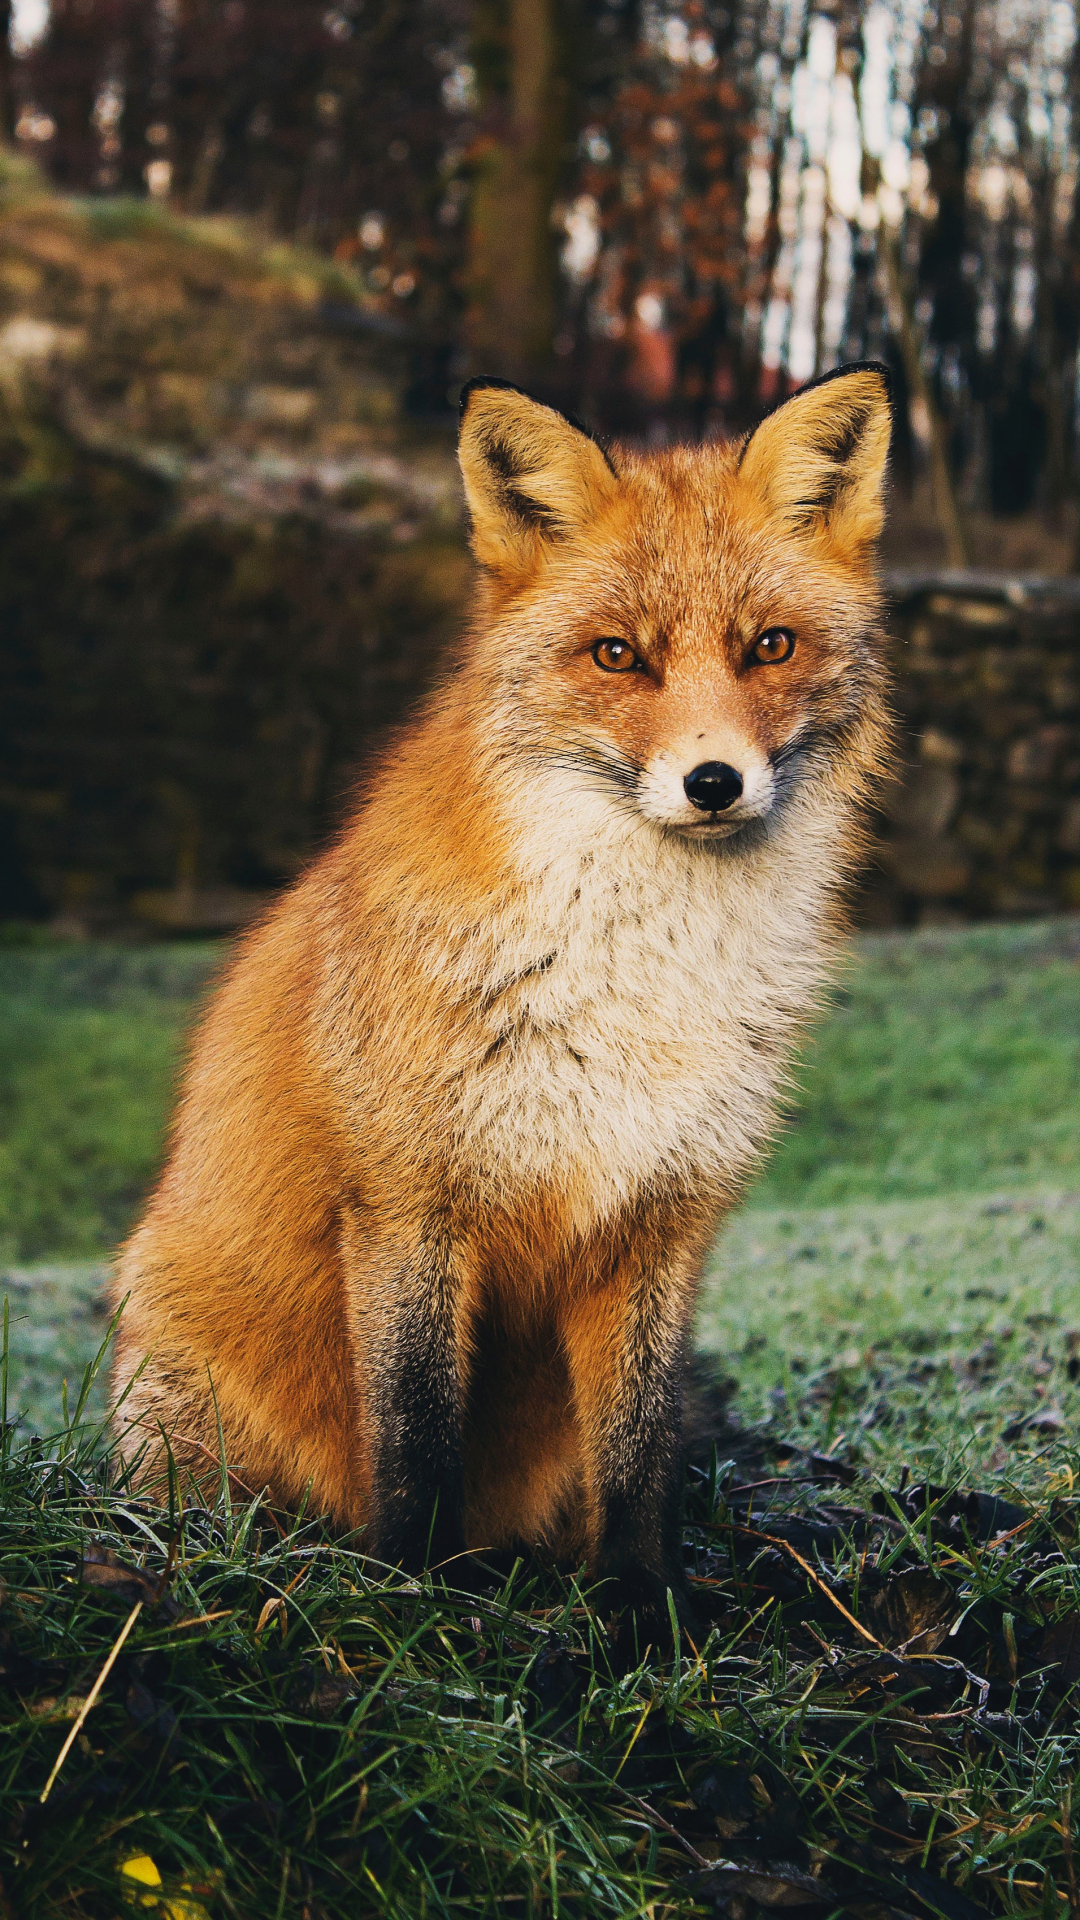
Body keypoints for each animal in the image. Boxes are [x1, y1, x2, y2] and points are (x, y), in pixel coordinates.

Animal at [111, 363, 893, 1632]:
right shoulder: (410, 1202)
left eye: (770, 646)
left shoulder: (661, 1219)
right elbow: (417, 1435)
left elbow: (638, 1454)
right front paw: (419, 1599)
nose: (713, 782)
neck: (637, 979)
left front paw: (643, 1612)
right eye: (617, 656)